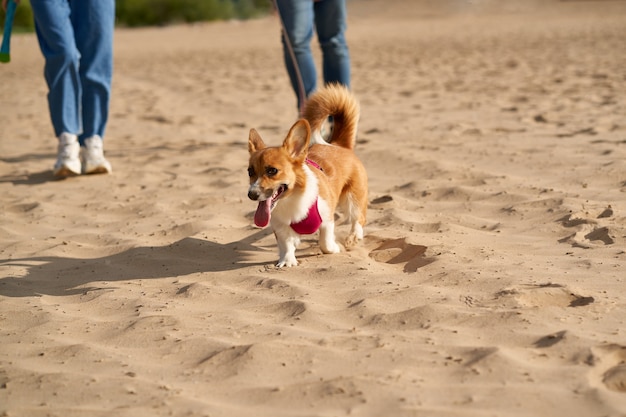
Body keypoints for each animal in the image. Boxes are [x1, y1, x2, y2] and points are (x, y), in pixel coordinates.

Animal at [246, 84, 368, 266]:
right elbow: (286, 245)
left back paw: (354, 236)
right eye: (250, 172)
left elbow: (325, 243)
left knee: (358, 218)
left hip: (353, 198)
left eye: (272, 171)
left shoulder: (327, 219)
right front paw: (287, 261)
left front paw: (335, 247)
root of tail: (339, 144)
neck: (292, 199)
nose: (251, 195)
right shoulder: (280, 227)